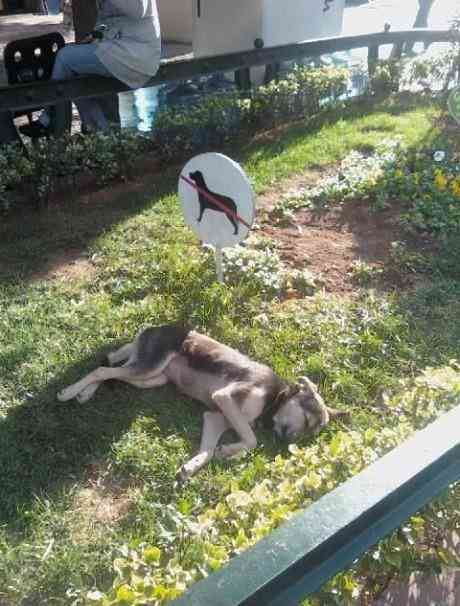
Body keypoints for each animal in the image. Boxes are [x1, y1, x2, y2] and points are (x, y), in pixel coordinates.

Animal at [57, 325, 347, 480]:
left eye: (312, 433)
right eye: (308, 421)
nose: (288, 443)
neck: (274, 396)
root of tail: (154, 328)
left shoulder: (216, 417)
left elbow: (208, 450)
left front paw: (197, 464)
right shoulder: (225, 397)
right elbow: (252, 440)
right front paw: (231, 450)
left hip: (151, 378)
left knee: (111, 369)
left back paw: (85, 393)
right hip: (149, 367)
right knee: (102, 370)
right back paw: (69, 392)